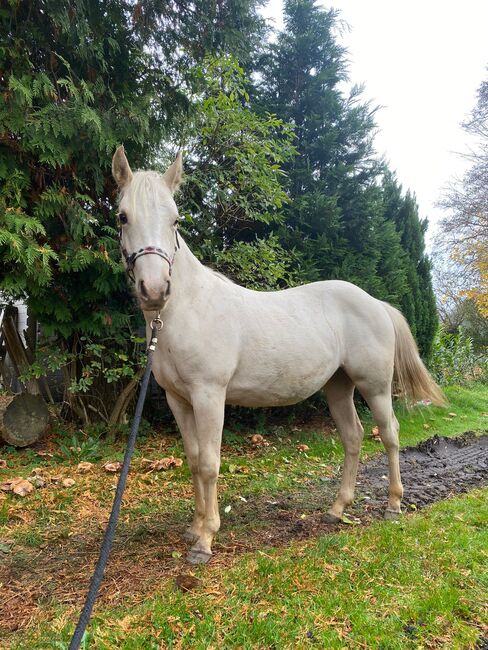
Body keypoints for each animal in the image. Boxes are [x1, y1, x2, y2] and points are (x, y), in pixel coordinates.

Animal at [111, 146, 446, 560]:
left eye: (174, 219)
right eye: (123, 216)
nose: (155, 290)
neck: (188, 308)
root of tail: (376, 303)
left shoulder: (209, 396)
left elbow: (209, 463)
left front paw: (206, 539)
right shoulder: (179, 400)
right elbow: (192, 459)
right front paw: (193, 528)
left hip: (375, 386)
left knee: (389, 434)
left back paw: (394, 505)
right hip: (338, 386)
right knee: (353, 438)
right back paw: (338, 509)